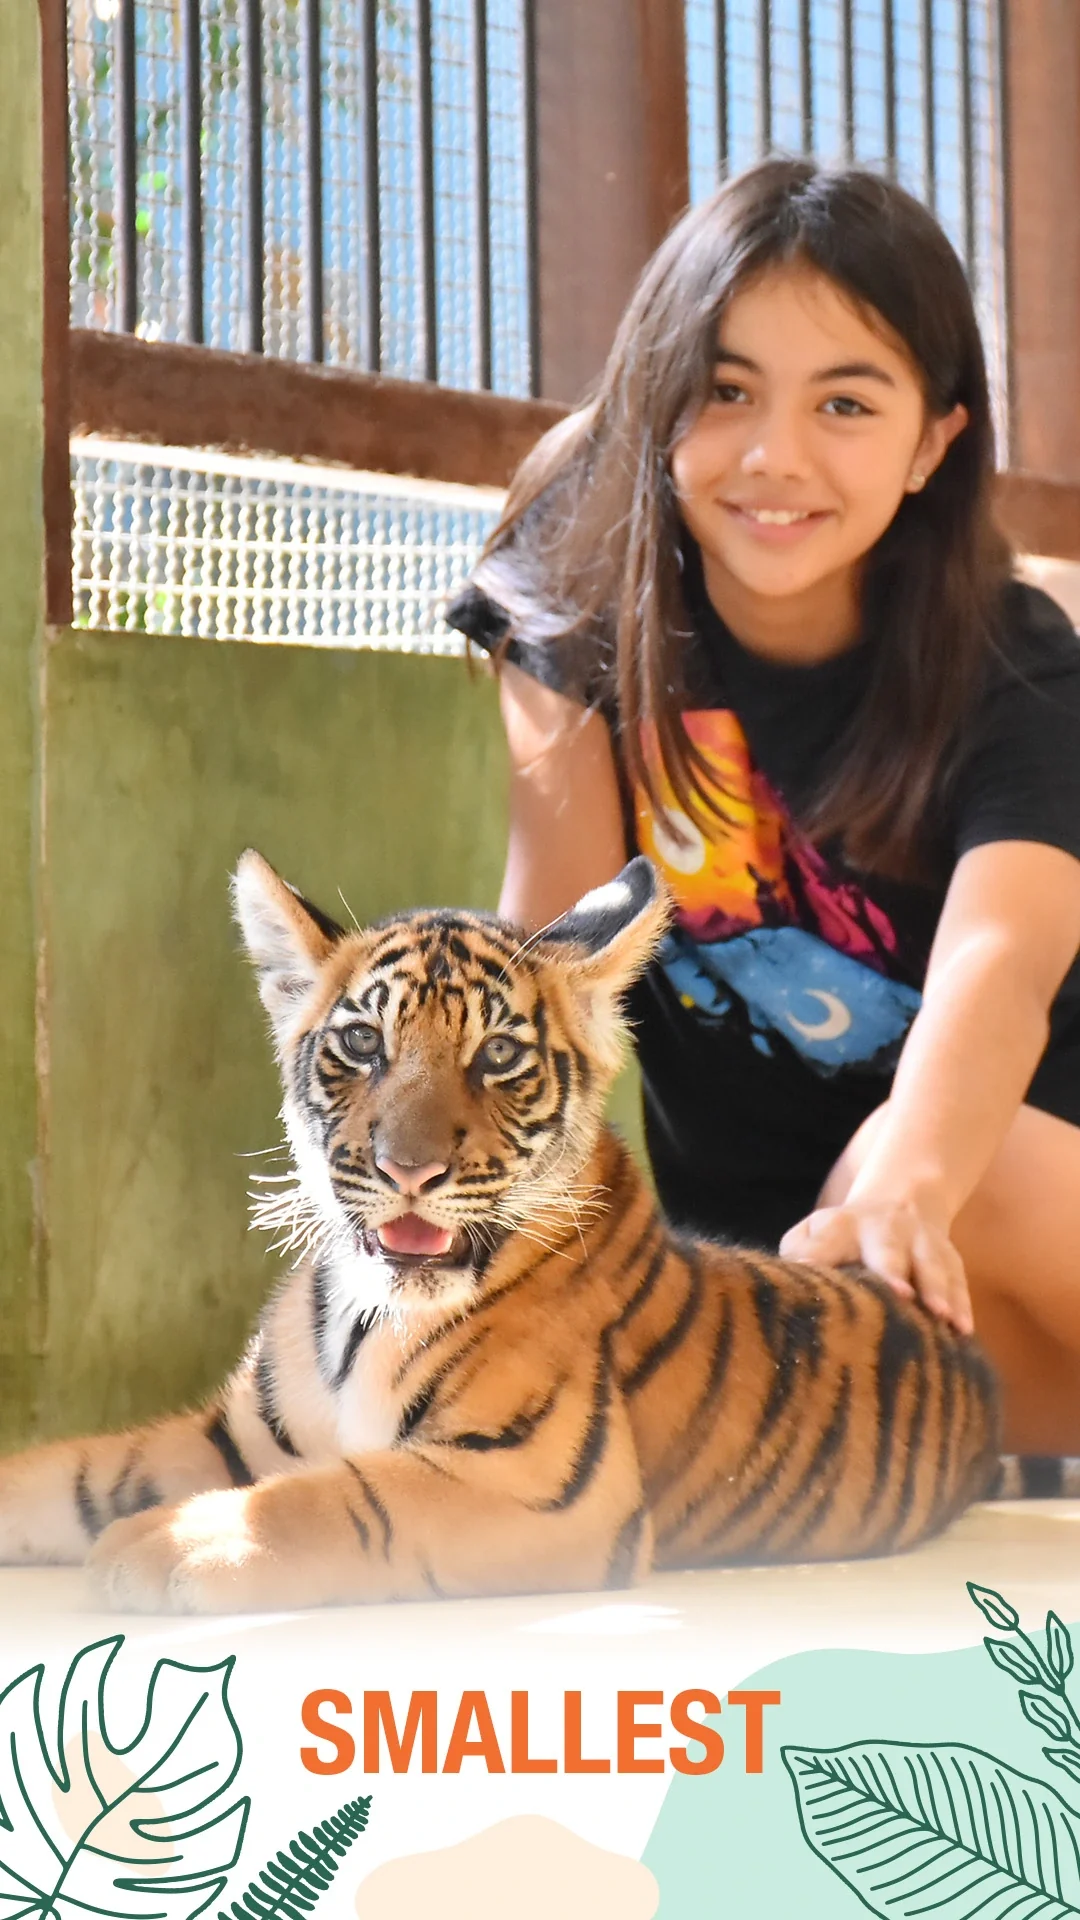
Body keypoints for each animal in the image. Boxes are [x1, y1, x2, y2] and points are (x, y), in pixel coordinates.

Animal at [0, 850, 1001, 1614]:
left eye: (500, 1055)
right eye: (362, 1044)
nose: (408, 1172)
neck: (363, 1315)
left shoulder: (540, 1485)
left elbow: (344, 1498)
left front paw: (166, 1543)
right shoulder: (233, 1440)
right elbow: (76, 1470)